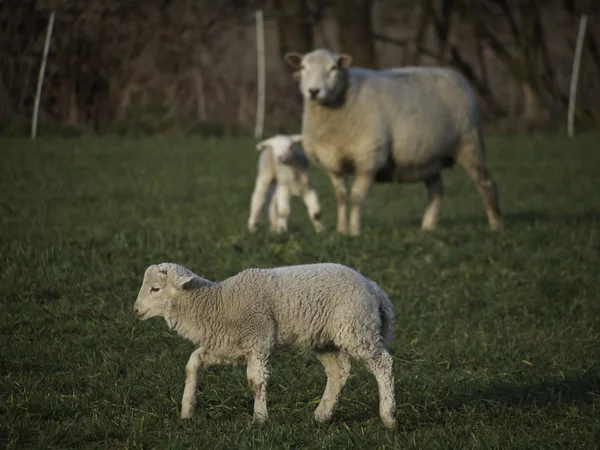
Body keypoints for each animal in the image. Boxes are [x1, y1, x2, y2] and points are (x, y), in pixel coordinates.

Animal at [133, 262, 396, 428]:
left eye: (155, 289)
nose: (135, 310)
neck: (218, 303)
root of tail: (373, 287)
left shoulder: (259, 338)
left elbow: (255, 381)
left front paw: (259, 419)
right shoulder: (228, 346)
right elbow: (193, 362)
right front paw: (187, 410)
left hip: (356, 327)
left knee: (383, 364)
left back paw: (389, 417)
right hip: (327, 338)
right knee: (338, 371)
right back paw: (321, 416)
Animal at [284, 48, 504, 236]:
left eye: (333, 68)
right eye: (303, 67)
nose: (313, 91)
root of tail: (455, 75)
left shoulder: (369, 158)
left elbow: (355, 197)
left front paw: (354, 231)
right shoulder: (332, 162)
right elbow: (340, 197)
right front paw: (341, 231)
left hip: (469, 144)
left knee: (485, 183)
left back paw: (495, 224)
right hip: (429, 157)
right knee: (436, 190)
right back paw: (428, 226)